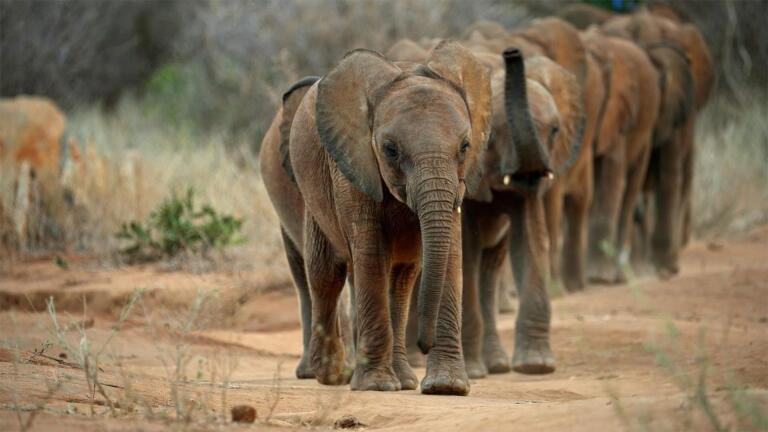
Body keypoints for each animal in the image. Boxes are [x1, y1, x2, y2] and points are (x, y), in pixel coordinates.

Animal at [284, 41, 492, 395]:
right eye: (390, 149)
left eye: (466, 146)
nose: (423, 343)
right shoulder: (352, 165)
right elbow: (370, 253)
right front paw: (376, 386)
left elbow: (451, 255)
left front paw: (446, 387)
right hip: (312, 194)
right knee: (326, 274)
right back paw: (332, 375)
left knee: (401, 281)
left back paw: (404, 381)